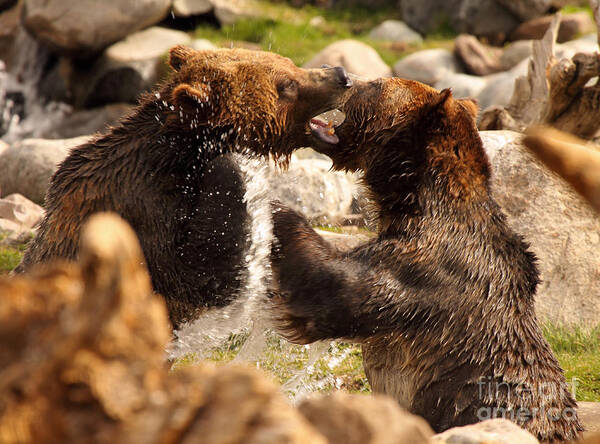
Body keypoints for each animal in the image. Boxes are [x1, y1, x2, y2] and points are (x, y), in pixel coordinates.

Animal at [14, 46, 354, 328]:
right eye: (287, 85)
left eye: (288, 63)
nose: (341, 75)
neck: (181, 158)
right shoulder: (143, 213)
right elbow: (204, 277)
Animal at [270, 78, 584, 442]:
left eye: (375, 84)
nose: (346, 78)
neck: (418, 199)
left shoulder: (427, 271)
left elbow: (329, 290)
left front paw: (272, 207)